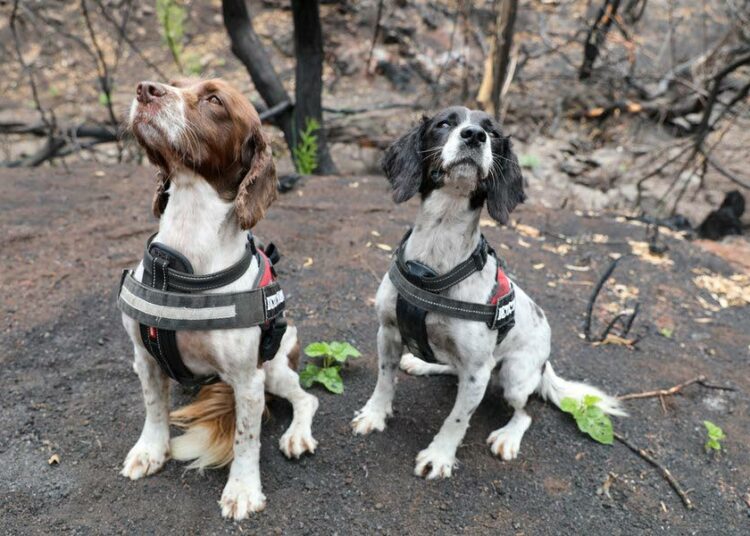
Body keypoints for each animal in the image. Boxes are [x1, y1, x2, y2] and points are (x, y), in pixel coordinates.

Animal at [119, 78, 318, 520]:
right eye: (175, 83)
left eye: (214, 100)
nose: (145, 88)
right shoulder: (144, 358)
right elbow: (153, 408)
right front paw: (150, 450)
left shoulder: (248, 379)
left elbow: (246, 439)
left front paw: (242, 490)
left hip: (276, 369)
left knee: (307, 398)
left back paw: (297, 435)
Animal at [356, 108, 624, 478]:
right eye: (444, 123)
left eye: (493, 133)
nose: (473, 136)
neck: (435, 259)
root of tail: (545, 362)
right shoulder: (388, 332)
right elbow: (384, 381)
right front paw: (375, 414)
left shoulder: (477, 369)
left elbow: (457, 418)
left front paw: (440, 455)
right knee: (452, 369)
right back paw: (423, 365)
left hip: (513, 377)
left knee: (526, 412)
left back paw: (508, 436)